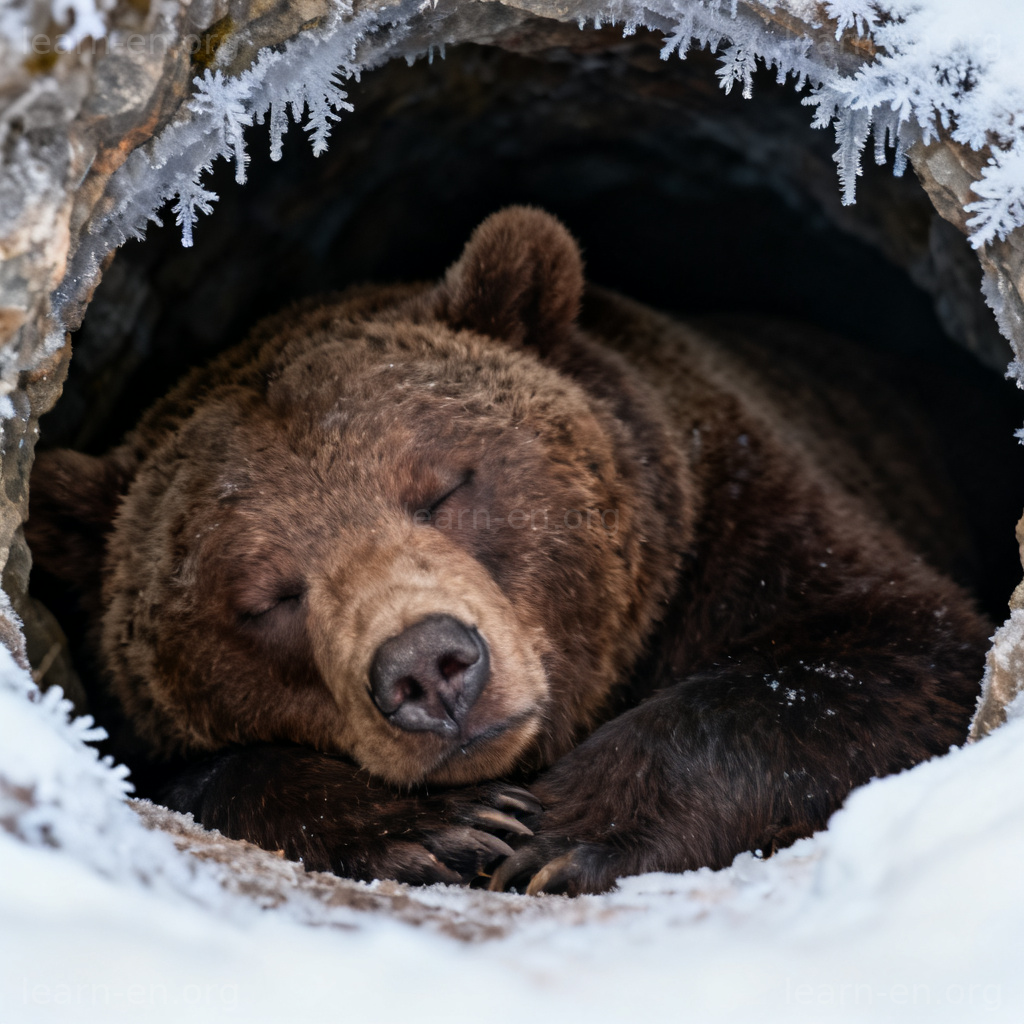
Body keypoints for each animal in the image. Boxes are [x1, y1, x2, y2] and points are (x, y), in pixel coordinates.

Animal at [27, 207, 990, 896]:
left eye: (443, 487)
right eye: (268, 595)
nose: (429, 668)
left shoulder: (747, 510)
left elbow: (889, 651)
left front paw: (565, 833)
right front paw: (447, 827)